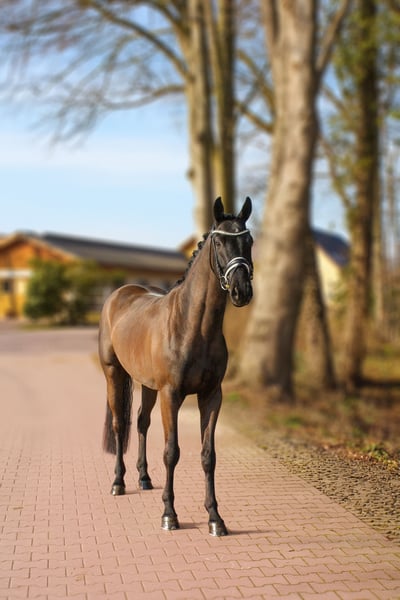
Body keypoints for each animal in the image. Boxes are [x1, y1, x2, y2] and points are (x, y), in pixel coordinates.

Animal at [99, 197, 253, 536]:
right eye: (219, 242)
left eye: (248, 240)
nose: (242, 291)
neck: (193, 327)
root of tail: (120, 293)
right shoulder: (171, 395)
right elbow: (172, 452)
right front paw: (169, 515)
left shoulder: (211, 396)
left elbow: (208, 455)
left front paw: (215, 519)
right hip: (114, 373)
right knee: (120, 425)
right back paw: (118, 482)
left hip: (147, 385)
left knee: (141, 422)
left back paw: (144, 479)